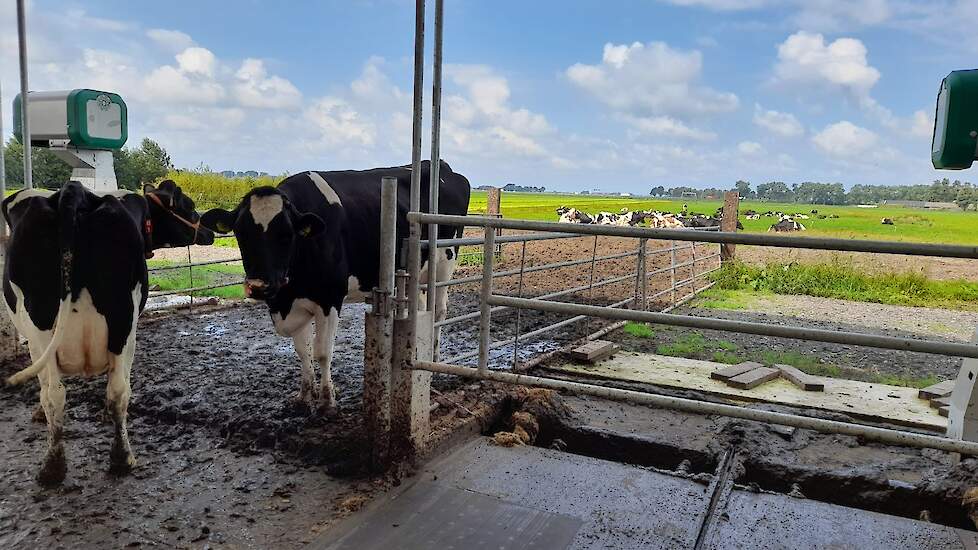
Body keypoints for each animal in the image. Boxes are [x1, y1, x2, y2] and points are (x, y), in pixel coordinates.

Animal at [1, 180, 215, 484]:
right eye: (189, 206)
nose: (209, 232)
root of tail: (73, 191)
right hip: (120, 323)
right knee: (105, 391)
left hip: (51, 329)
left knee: (59, 393)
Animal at [199, 162, 468, 412]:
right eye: (240, 233)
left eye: (286, 235)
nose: (258, 286)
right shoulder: (295, 304)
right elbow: (303, 351)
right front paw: (304, 396)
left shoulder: (329, 299)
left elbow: (322, 351)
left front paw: (327, 400)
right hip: (418, 275)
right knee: (422, 309)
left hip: (445, 262)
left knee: (439, 311)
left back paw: (434, 363)